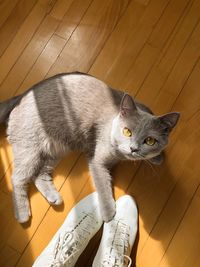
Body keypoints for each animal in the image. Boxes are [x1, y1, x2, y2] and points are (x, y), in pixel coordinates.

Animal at [0, 71, 180, 224]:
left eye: (150, 141)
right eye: (127, 131)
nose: (133, 148)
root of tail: (21, 96)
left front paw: (158, 157)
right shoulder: (97, 160)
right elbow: (103, 185)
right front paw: (108, 213)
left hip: (56, 149)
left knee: (39, 174)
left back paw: (54, 197)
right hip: (30, 148)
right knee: (17, 178)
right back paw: (23, 214)